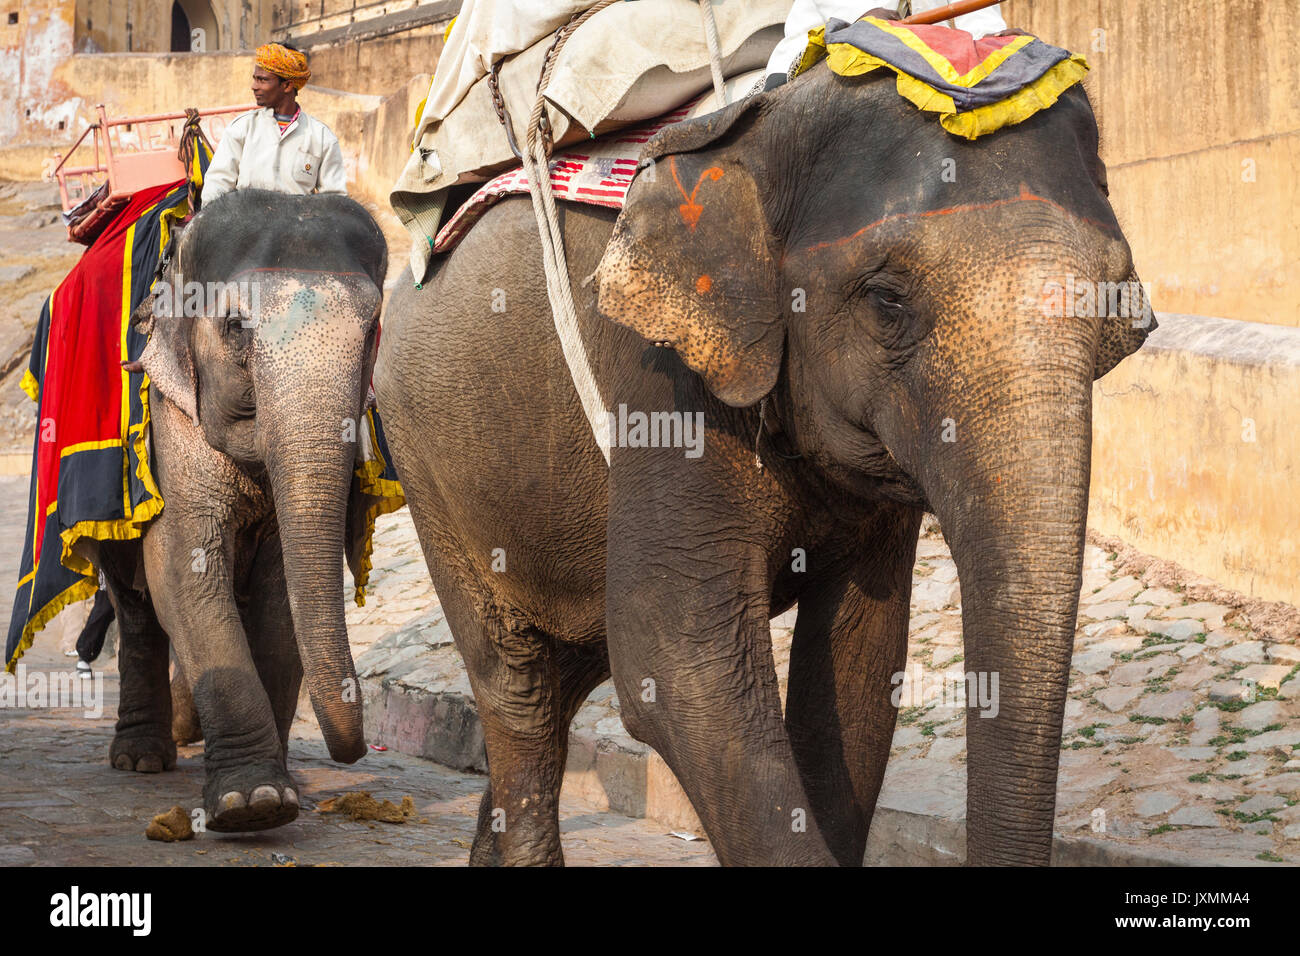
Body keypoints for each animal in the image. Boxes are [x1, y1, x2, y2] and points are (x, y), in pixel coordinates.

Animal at [89, 191, 387, 832]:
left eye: (374, 328)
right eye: (233, 327)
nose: (353, 752)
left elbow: (279, 601)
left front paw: (277, 794)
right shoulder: (172, 418)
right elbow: (184, 576)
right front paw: (253, 806)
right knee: (135, 604)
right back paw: (140, 759)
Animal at [379, 61, 1159, 868]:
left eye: (1117, 307)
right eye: (886, 301)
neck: (774, 119)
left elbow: (857, 663)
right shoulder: (663, 378)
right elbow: (674, 657)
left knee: (567, 670)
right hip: (427, 466)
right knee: (518, 687)